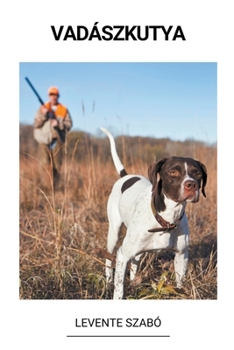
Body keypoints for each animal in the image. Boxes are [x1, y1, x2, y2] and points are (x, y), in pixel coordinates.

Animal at [101, 127, 207, 300]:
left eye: (197, 173)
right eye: (173, 172)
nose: (192, 185)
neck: (166, 218)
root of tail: (126, 176)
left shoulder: (181, 256)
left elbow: (179, 284)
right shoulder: (122, 255)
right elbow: (119, 289)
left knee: (135, 261)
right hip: (113, 234)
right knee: (109, 260)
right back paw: (108, 282)